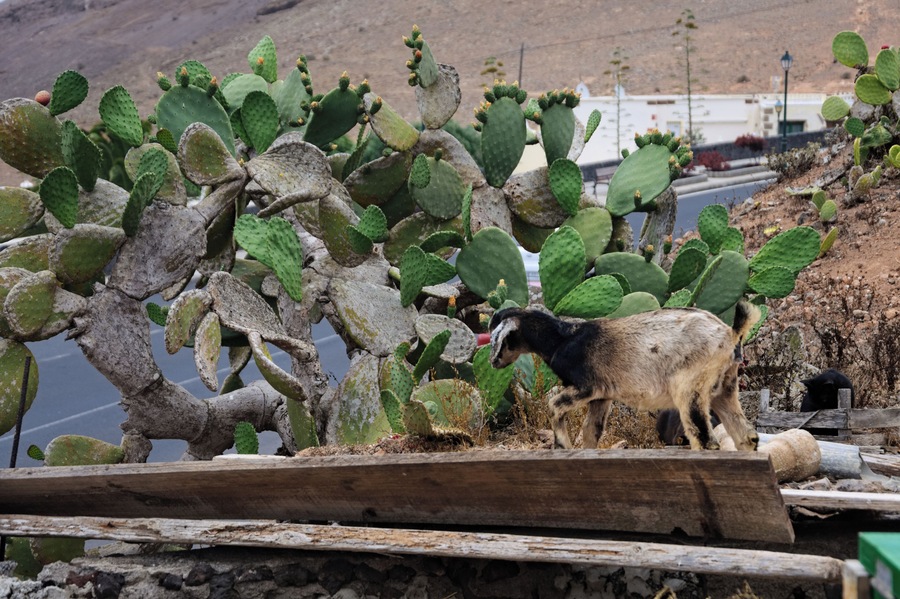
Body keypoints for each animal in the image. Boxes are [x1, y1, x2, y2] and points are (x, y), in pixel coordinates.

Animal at [489, 302, 761, 451]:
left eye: (498, 339)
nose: (493, 362)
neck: (563, 340)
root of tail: (731, 334)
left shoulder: (586, 387)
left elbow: (554, 405)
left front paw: (562, 445)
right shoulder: (602, 397)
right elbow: (591, 431)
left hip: (690, 388)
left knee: (704, 439)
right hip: (724, 388)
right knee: (746, 436)